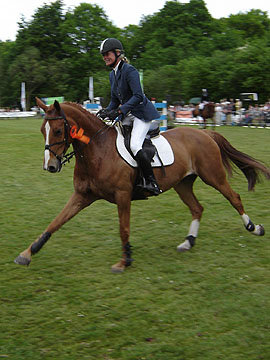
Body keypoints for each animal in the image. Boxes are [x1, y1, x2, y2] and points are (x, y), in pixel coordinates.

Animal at [14, 98, 270, 272]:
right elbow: (55, 223)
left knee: (234, 198)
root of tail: (205, 135)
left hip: (213, 176)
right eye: (42, 131)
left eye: (58, 130)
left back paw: (254, 228)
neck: (97, 150)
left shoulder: (122, 195)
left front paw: (124, 261)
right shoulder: (82, 196)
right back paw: (188, 242)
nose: (50, 166)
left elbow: (123, 229)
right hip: (183, 184)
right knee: (197, 208)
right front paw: (27, 253)